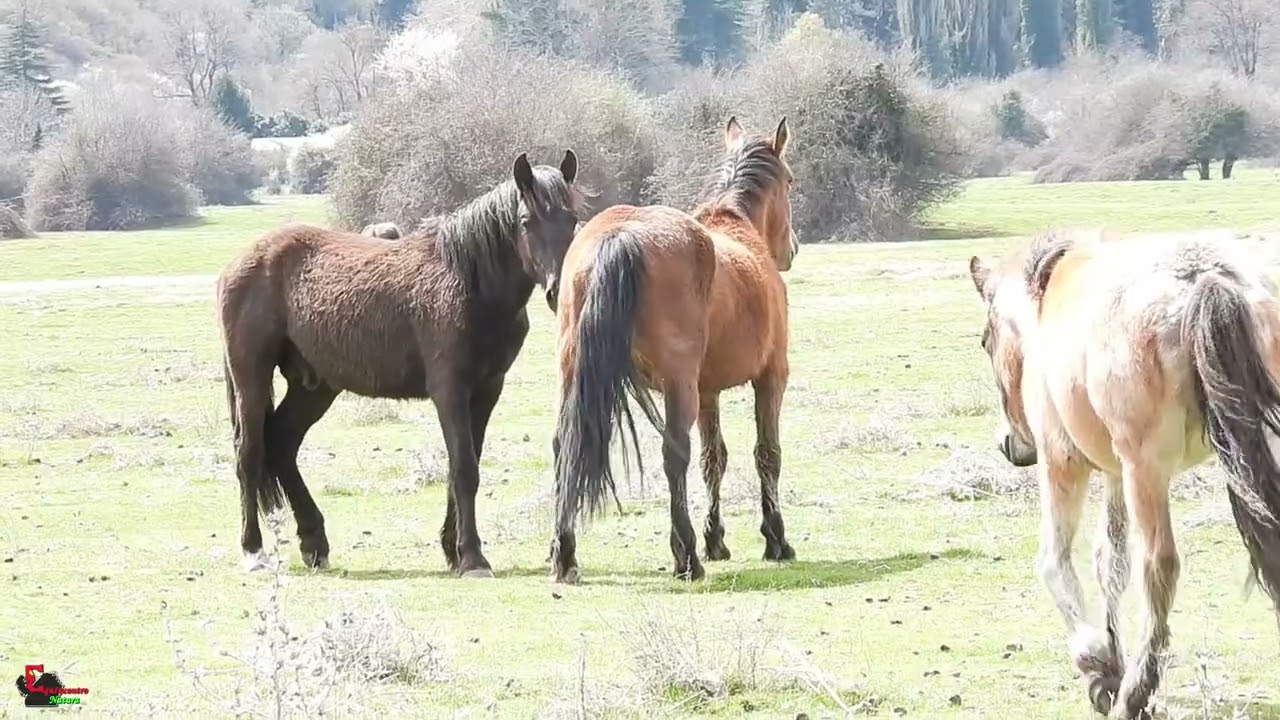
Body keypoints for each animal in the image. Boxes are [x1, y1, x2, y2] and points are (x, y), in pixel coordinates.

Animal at [217, 150, 585, 578]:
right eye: (526, 221)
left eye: (572, 219)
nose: (558, 291)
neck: (468, 281)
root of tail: (241, 261)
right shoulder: (449, 390)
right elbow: (464, 468)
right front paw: (472, 557)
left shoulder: (486, 390)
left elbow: (464, 465)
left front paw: (453, 549)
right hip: (252, 379)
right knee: (250, 453)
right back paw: (253, 551)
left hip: (315, 387)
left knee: (281, 446)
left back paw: (314, 544)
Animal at [548, 116, 799, 583]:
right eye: (790, 181)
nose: (792, 249)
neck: (737, 228)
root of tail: (621, 235)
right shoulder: (771, 378)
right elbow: (766, 454)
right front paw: (775, 539)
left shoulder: (708, 392)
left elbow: (713, 458)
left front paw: (717, 539)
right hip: (678, 384)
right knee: (673, 454)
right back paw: (686, 556)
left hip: (574, 374)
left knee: (564, 445)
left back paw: (565, 554)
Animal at [968, 229, 1280, 718]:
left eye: (985, 340)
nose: (1010, 447)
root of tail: (1204, 278)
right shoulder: (1113, 475)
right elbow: (1109, 562)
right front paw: (1110, 664)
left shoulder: (1063, 463)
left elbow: (1054, 560)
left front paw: (1095, 661)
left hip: (1145, 471)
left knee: (1159, 565)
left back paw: (1136, 691)